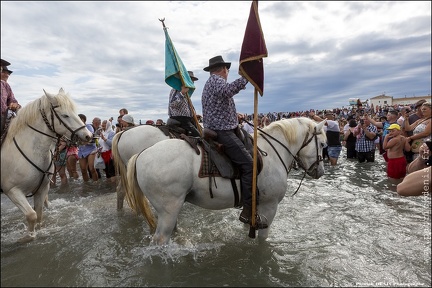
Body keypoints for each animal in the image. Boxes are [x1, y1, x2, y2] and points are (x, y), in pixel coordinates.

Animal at [1, 89, 93, 242]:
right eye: (65, 115)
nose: (88, 136)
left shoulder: (42, 188)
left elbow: (38, 214)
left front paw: (37, 231)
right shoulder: (12, 191)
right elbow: (31, 215)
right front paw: (27, 237)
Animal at [123, 117, 326, 245]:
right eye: (323, 144)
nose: (320, 172)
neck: (273, 151)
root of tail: (142, 155)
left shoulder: (254, 207)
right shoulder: (269, 207)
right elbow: (263, 239)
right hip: (169, 210)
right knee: (160, 240)